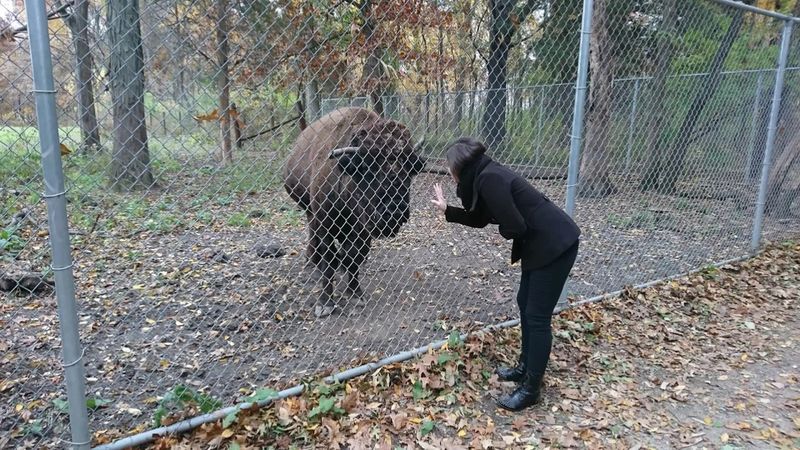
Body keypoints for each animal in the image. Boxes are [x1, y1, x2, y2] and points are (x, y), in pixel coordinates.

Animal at [283, 107, 426, 317]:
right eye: (367, 167)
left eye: (408, 169)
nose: (394, 213)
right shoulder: (325, 222)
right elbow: (329, 259)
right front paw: (325, 303)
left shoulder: (362, 230)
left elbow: (355, 256)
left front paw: (355, 293)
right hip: (309, 207)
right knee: (312, 228)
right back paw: (312, 259)